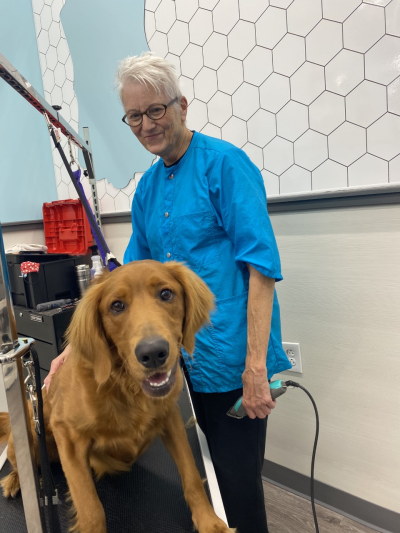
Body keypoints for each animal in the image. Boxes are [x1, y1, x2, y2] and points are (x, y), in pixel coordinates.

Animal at [0, 260, 235, 533]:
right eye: (117, 306)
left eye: (166, 294)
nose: (153, 353)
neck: (126, 388)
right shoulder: (66, 434)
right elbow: (91, 509)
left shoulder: (171, 418)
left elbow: (192, 475)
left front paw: (210, 522)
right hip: (28, 433)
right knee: (21, 465)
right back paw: (16, 481)